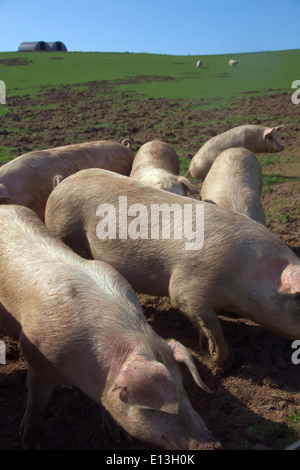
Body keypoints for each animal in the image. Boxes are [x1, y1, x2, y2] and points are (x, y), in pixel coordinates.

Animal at [0, 204, 217, 450]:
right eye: (153, 409)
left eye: (183, 389)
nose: (212, 445)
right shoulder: (36, 361)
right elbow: (38, 402)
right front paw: (28, 441)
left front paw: (117, 438)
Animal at [44, 170, 300, 368]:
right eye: (297, 304)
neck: (246, 273)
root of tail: (63, 182)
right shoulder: (187, 290)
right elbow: (211, 326)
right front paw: (215, 360)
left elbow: (205, 327)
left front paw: (205, 349)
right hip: (62, 229)